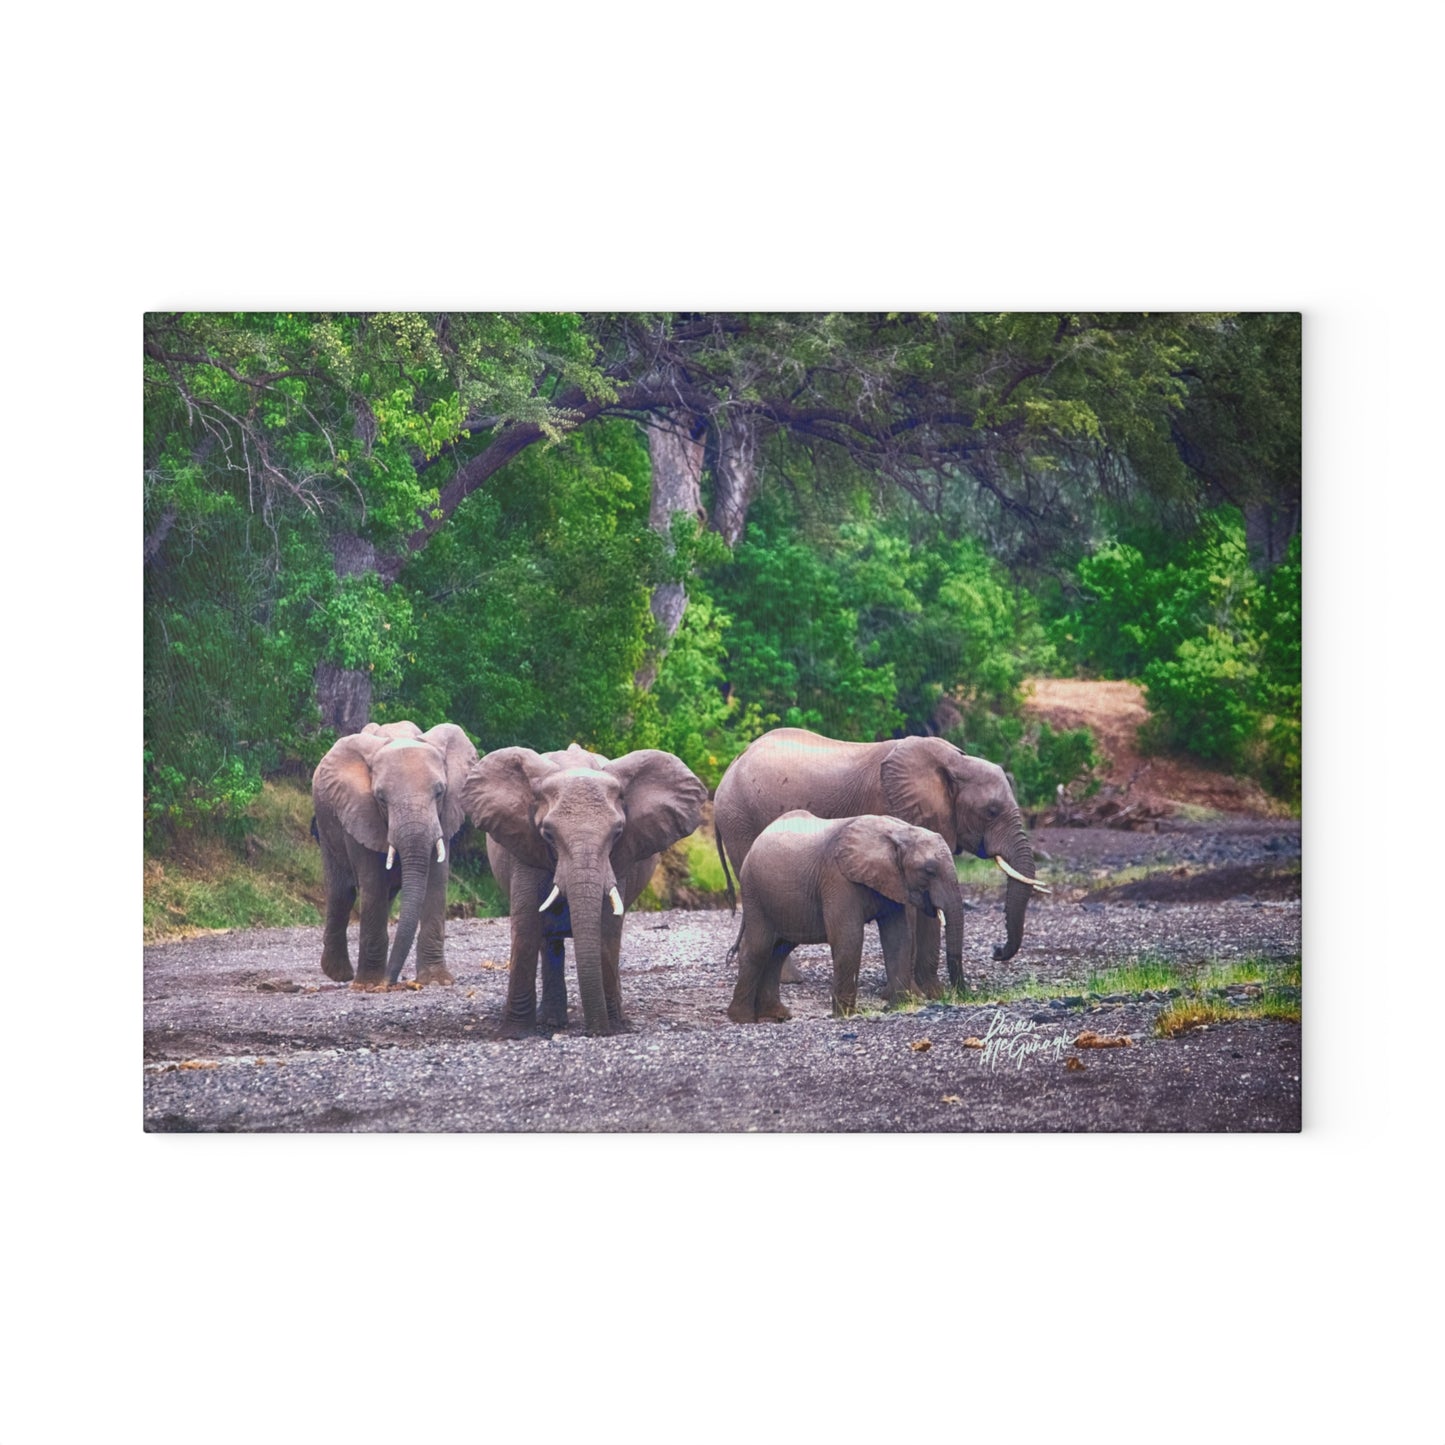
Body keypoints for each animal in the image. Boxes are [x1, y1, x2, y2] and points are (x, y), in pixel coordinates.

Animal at [311, 720, 477, 988]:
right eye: (381, 798)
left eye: (440, 792)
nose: (389, 982)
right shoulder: (360, 811)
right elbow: (372, 884)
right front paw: (369, 985)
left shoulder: (444, 816)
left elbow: (436, 882)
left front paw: (436, 981)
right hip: (326, 824)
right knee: (342, 893)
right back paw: (341, 975)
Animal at [462, 743, 707, 1037]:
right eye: (548, 834)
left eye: (617, 833)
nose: (596, 1031)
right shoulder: (524, 844)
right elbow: (527, 926)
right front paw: (514, 1034)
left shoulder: (620, 859)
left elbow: (607, 930)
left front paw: (613, 1027)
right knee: (549, 940)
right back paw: (551, 1021)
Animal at [713, 727, 1048, 985]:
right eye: (991, 811)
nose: (996, 950)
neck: (955, 762)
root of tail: (730, 766)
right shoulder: (891, 807)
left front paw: (929, 991)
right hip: (740, 821)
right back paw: (788, 980)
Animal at [727, 811, 965, 1021]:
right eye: (929, 871)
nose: (962, 995)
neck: (897, 832)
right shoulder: (837, 877)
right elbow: (849, 938)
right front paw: (846, 1015)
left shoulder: (892, 881)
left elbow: (898, 938)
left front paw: (898, 1007)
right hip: (754, 892)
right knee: (759, 948)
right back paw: (743, 1019)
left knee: (779, 950)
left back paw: (777, 1016)